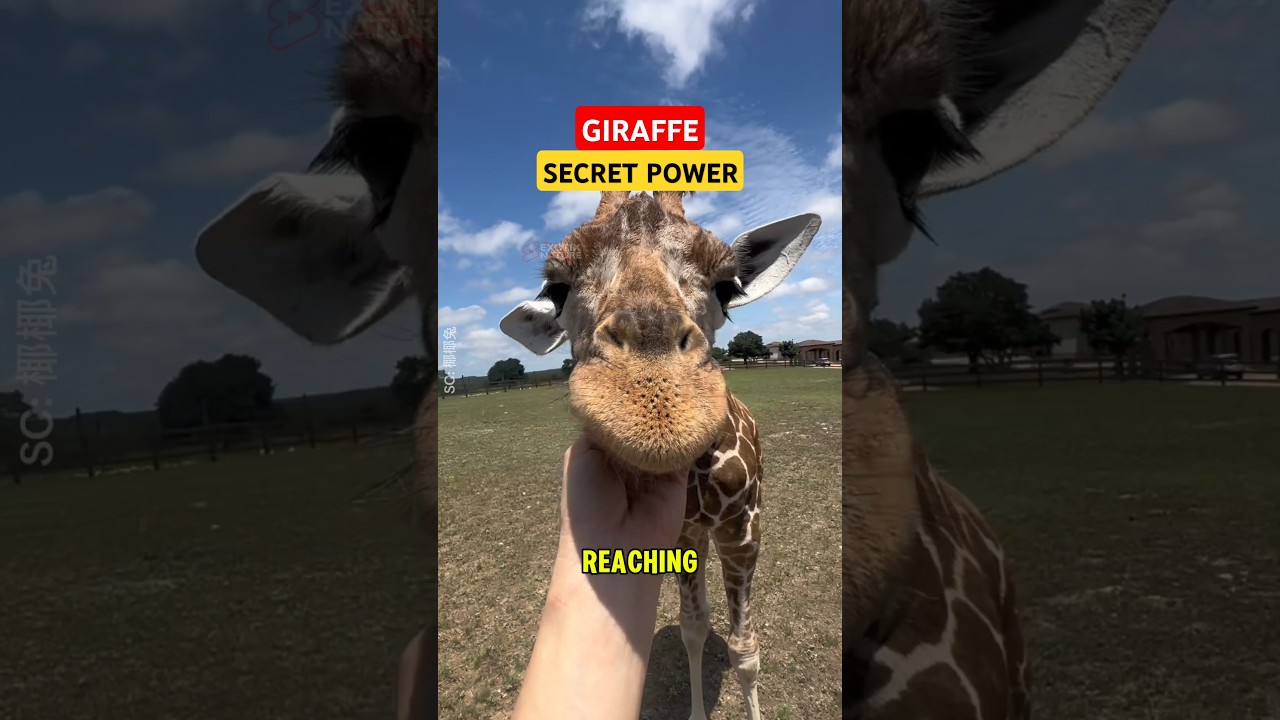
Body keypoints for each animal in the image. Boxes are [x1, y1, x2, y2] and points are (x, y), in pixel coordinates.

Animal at [500, 190, 821, 720]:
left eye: (727, 288)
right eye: (558, 289)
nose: (655, 398)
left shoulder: (745, 530)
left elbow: (745, 649)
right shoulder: (683, 535)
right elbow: (693, 629)